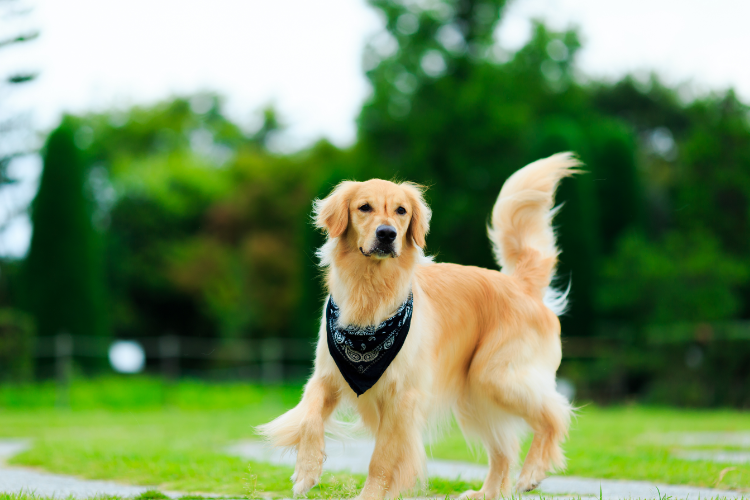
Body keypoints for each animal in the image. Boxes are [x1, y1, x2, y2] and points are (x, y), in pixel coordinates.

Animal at [256, 152, 580, 500]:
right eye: (364, 207)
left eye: (401, 211)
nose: (387, 234)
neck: (370, 297)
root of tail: (520, 284)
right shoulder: (327, 375)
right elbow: (309, 418)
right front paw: (306, 471)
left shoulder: (403, 397)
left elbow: (382, 458)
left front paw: (371, 495)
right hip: (476, 394)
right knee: (504, 449)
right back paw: (486, 492)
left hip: (496, 375)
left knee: (555, 412)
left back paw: (533, 472)